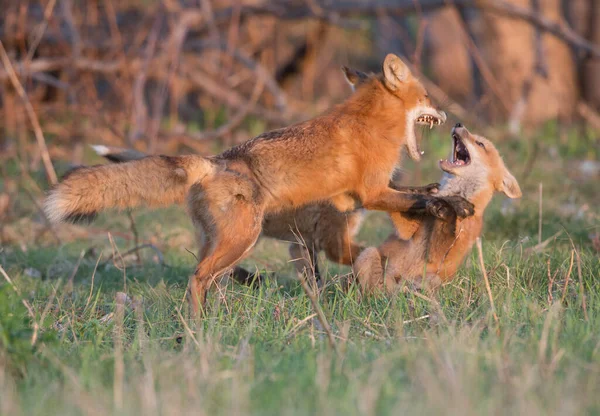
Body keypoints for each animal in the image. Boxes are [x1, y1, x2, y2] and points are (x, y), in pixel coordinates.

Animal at [43, 53, 474, 310]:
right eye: (428, 96)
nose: (447, 112)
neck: (371, 123)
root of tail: (213, 162)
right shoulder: (368, 195)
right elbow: (408, 208)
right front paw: (450, 204)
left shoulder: (343, 217)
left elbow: (413, 194)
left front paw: (438, 193)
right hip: (242, 239)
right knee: (198, 278)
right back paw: (197, 330)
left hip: (223, 242)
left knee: (210, 277)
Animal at [354, 125, 524, 294]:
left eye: (480, 144)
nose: (458, 124)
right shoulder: (407, 229)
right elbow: (403, 195)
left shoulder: (444, 251)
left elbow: (445, 226)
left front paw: (446, 209)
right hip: (368, 254)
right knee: (375, 290)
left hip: (433, 279)